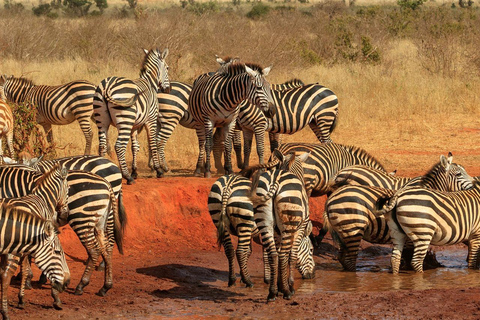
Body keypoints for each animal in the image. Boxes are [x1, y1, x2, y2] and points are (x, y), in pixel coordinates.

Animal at [93, 47, 170, 182]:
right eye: (167, 68)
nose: (168, 90)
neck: (149, 83)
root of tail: (107, 86)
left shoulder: (135, 125)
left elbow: (135, 146)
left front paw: (135, 171)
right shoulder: (151, 119)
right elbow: (152, 143)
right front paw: (158, 170)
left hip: (102, 120)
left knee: (102, 146)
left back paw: (104, 171)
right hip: (125, 121)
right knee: (119, 146)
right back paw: (127, 176)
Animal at [324, 154, 474, 272]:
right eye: (459, 174)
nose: (475, 186)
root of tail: (331, 198)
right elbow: (408, 259)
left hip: (343, 232)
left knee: (342, 258)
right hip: (352, 228)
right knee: (349, 260)